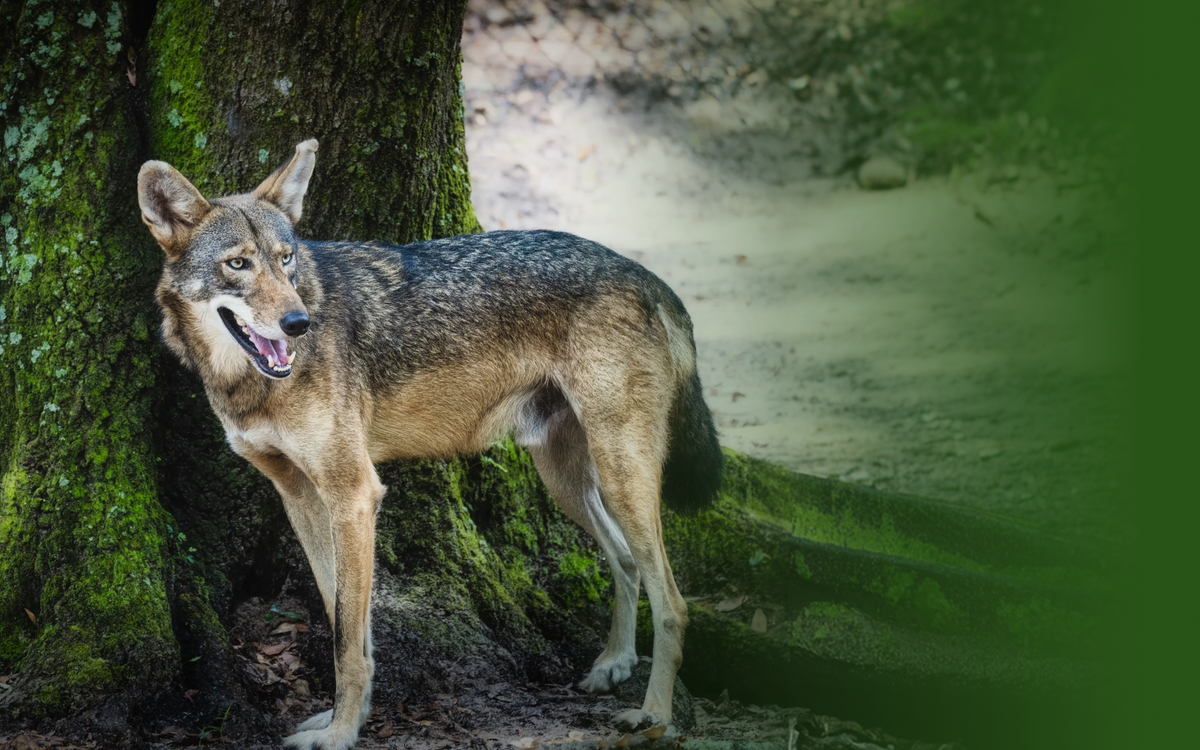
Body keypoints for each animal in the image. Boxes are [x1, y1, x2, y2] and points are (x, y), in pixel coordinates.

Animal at [137, 139, 722, 750]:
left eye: (286, 258)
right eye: (238, 264)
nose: (298, 322)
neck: (247, 384)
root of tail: (648, 276)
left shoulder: (355, 495)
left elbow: (347, 639)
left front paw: (341, 732)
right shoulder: (302, 498)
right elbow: (342, 618)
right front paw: (346, 716)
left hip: (619, 474)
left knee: (674, 603)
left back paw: (655, 717)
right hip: (568, 482)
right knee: (627, 562)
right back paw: (613, 665)